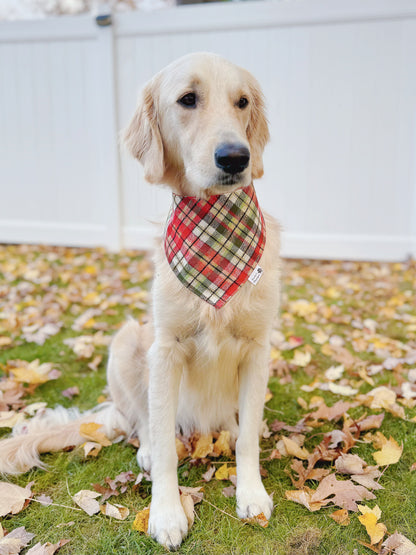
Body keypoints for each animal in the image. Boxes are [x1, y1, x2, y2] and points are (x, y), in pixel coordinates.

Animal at [0, 53, 282, 552]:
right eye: (188, 99)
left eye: (242, 102)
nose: (236, 157)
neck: (217, 231)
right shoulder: (165, 350)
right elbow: (166, 443)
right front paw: (167, 513)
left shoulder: (257, 348)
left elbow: (249, 437)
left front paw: (251, 493)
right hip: (127, 343)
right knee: (143, 423)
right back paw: (148, 447)